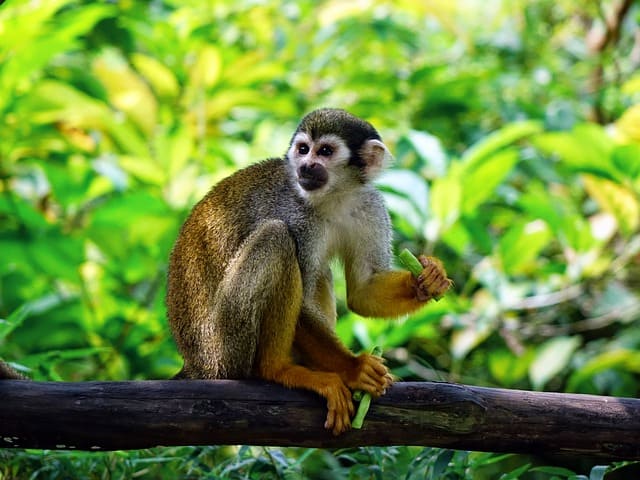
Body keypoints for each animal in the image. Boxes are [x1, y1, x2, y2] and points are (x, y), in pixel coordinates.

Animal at [166, 108, 452, 435]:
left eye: (325, 151)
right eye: (303, 149)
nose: (305, 165)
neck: (334, 197)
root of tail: (196, 363)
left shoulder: (370, 206)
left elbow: (362, 292)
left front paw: (427, 279)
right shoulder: (296, 215)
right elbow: (302, 305)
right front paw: (354, 369)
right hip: (225, 347)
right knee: (276, 238)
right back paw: (278, 369)